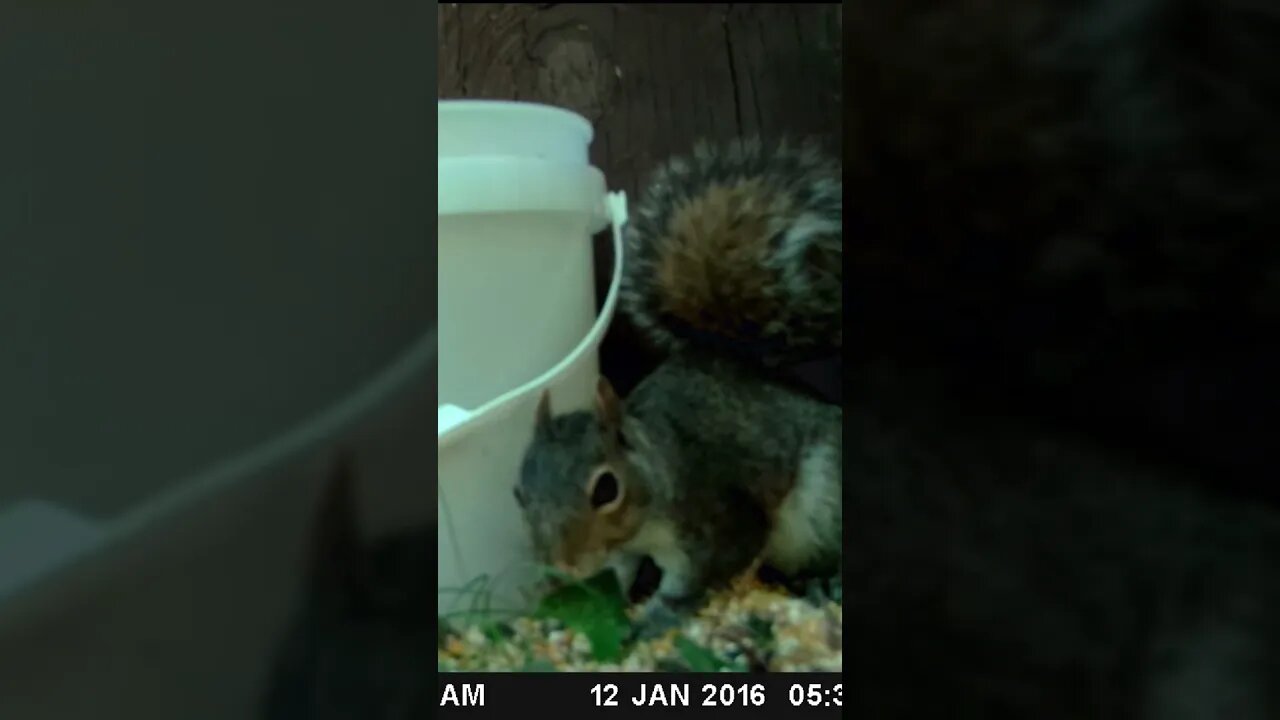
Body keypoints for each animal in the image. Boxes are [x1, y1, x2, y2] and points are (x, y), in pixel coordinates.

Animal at [514, 139, 844, 622]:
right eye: (519, 492)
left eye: (607, 489)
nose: (561, 564)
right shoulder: (626, 552)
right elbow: (618, 574)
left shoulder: (719, 520)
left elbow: (699, 577)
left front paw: (658, 616)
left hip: (824, 503)